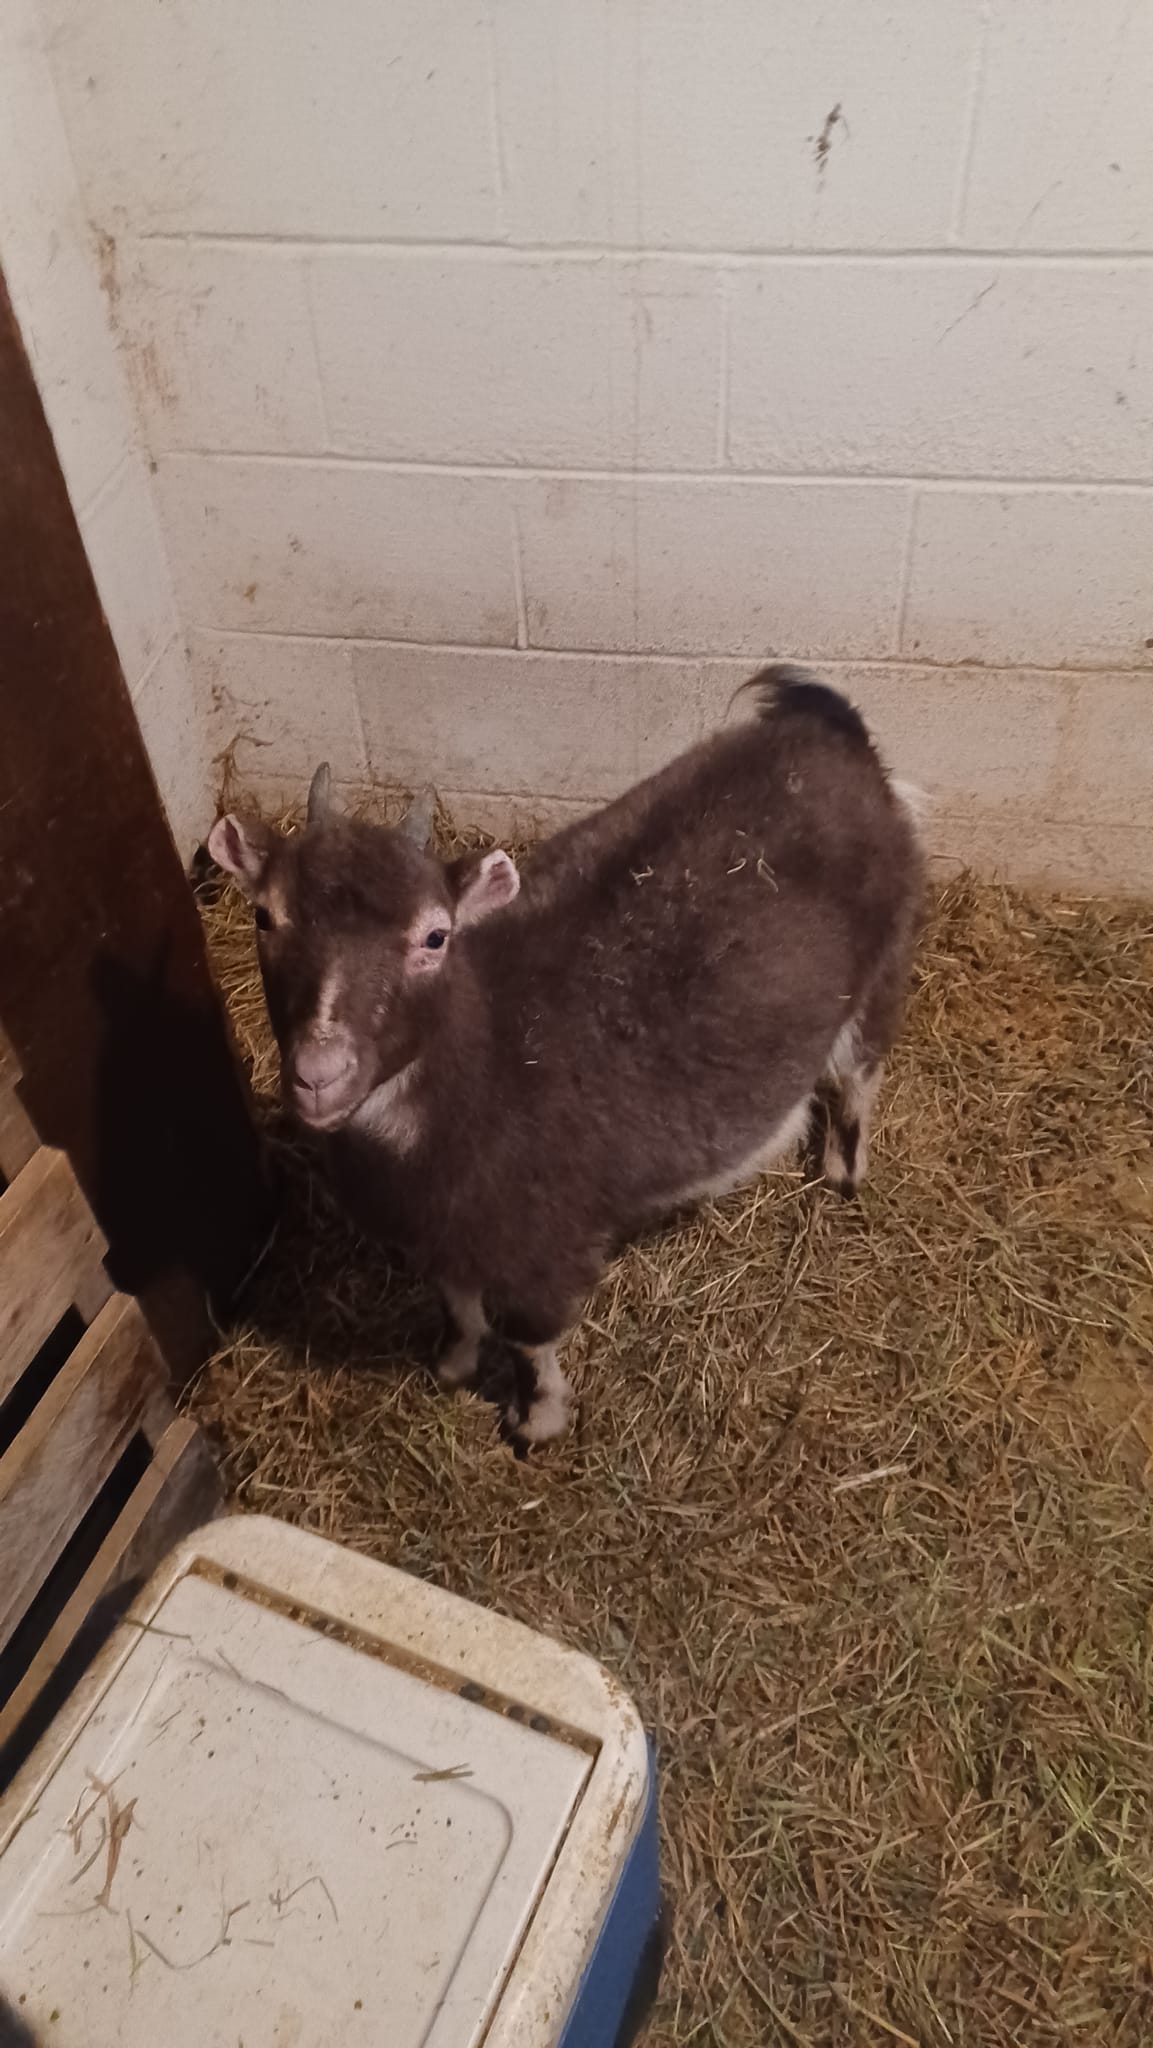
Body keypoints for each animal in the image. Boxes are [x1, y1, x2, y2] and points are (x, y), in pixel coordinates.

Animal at [208, 666, 923, 1446]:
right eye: (264, 915)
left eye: (435, 936)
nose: (319, 1075)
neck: (484, 1066)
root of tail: (830, 729)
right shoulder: (444, 1232)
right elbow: (457, 1300)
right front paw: (452, 1364)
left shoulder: (544, 1243)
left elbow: (530, 1336)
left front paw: (536, 1422)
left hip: (885, 954)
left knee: (860, 1069)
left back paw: (842, 1171)